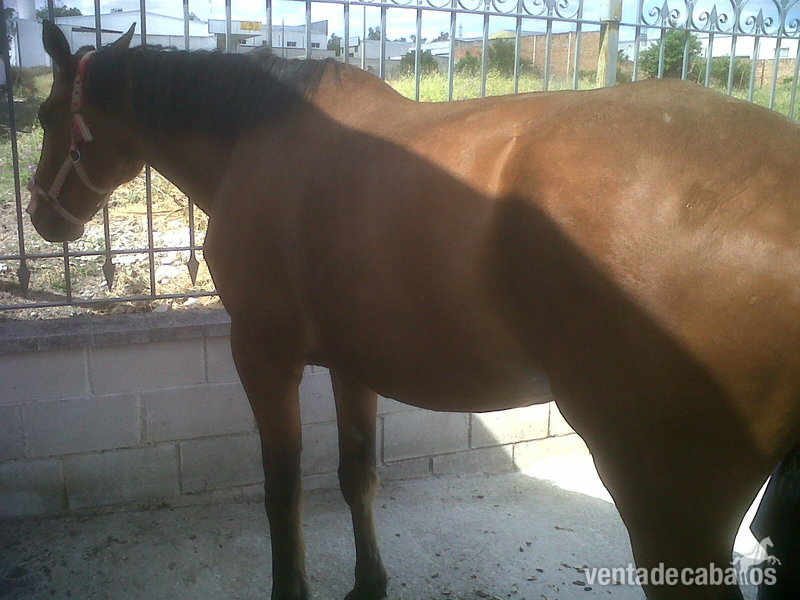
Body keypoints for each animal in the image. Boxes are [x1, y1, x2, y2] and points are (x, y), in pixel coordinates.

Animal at [29, 20, 800, 600]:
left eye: (42, 115)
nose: (41, 217)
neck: (261, 137)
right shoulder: (352, 360)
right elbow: (356, 477)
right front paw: (369, 584)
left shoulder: (264, 357)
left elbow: (283, 492)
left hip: (668, 495)